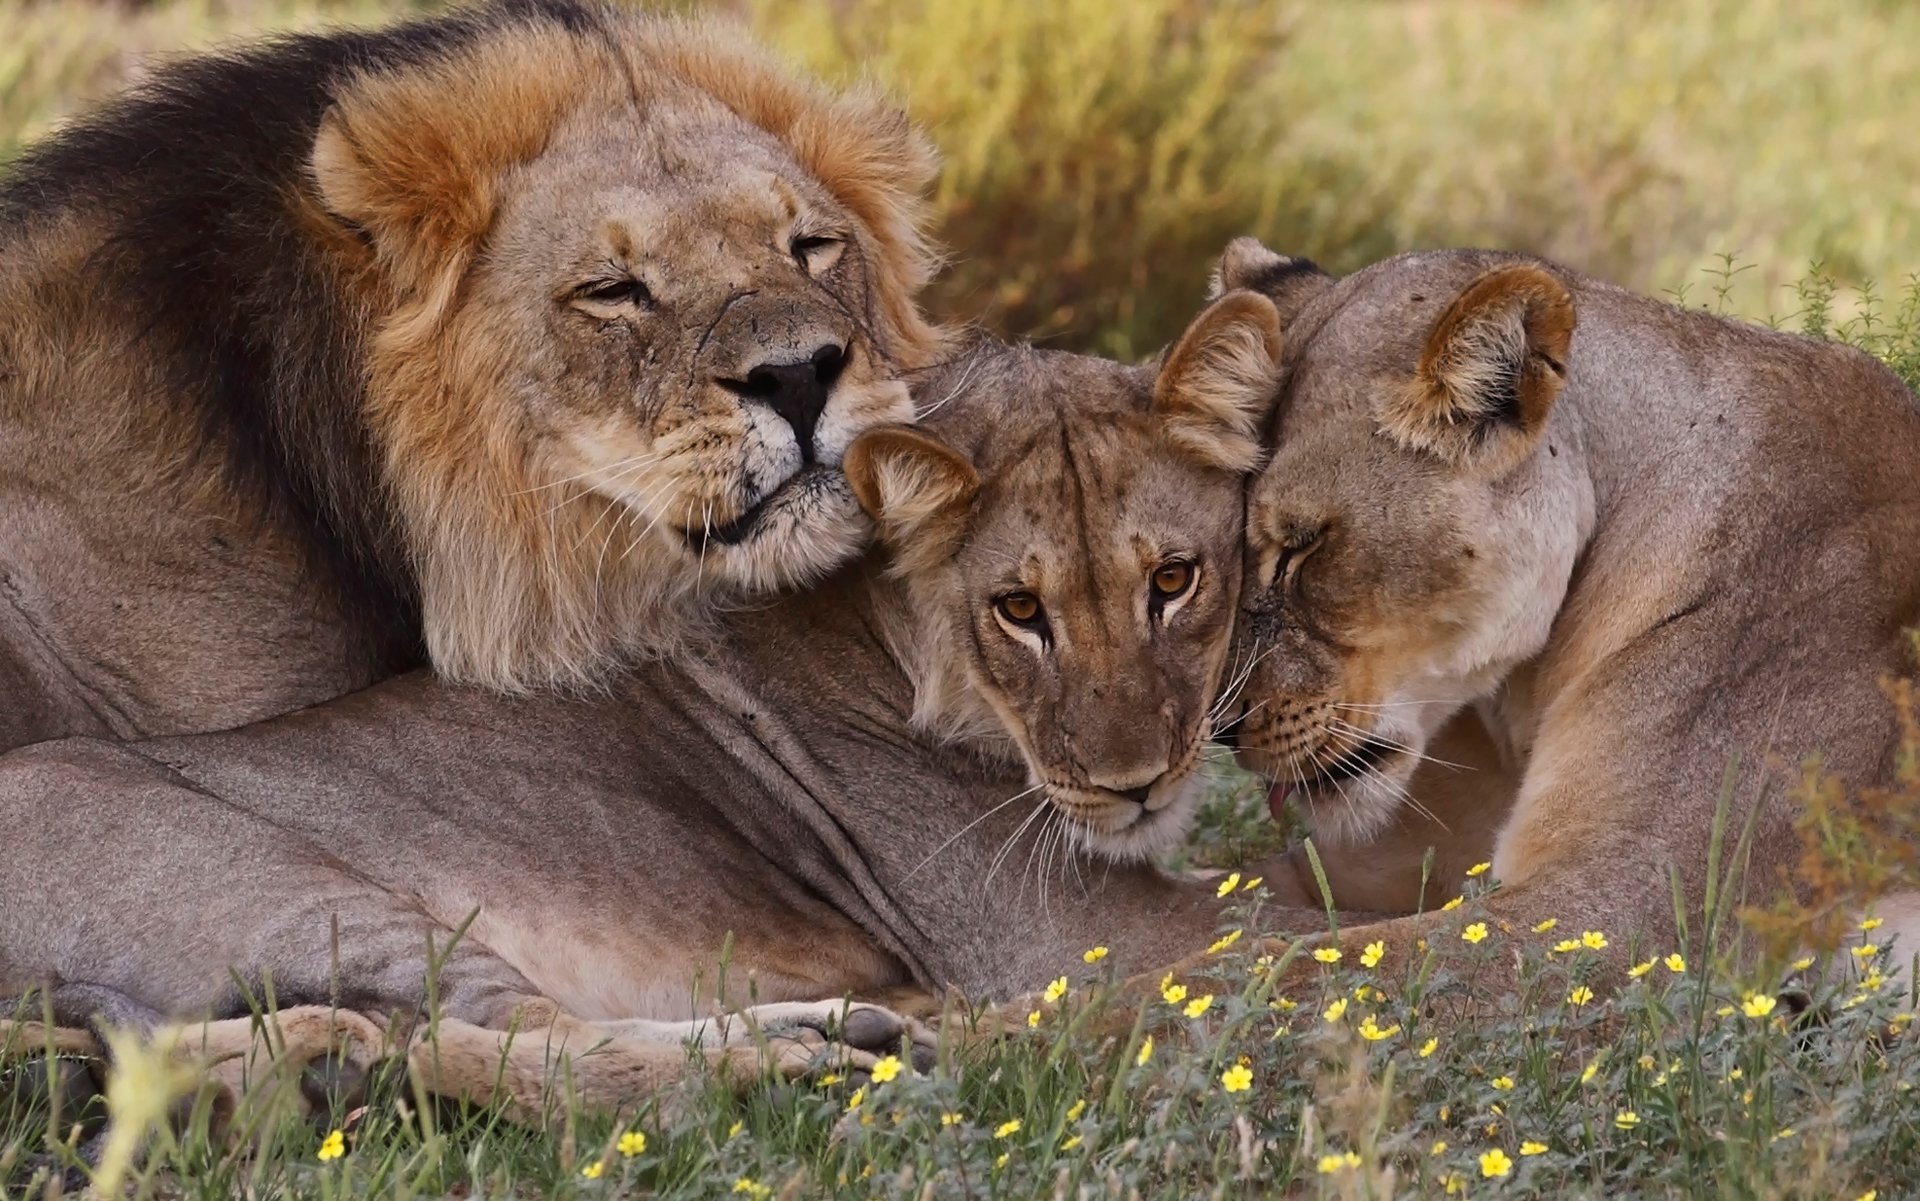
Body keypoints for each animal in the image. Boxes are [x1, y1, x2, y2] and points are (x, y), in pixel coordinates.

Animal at [0, 295, 1336, 1120]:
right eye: (1019, 609)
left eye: (1175, 579)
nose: (1138, 780)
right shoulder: (1068, 937)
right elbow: (1319, 939)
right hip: (300, 889)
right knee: (480, 1043)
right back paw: (820, 1066)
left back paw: (855, 1031)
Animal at [1152, 235, 1920, 989]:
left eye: (1301, 547)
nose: (1220, 730)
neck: (1518, 699)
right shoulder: (1380, 863)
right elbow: (1226, 910)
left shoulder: (1627, 916)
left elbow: (1286, 970)